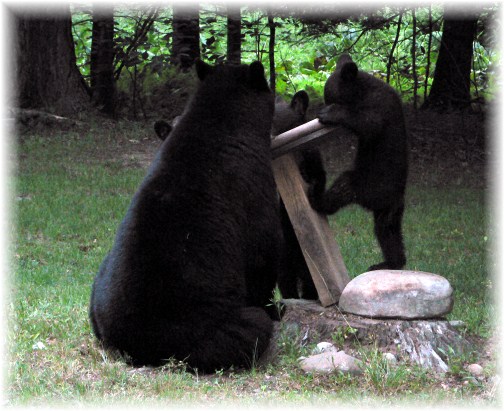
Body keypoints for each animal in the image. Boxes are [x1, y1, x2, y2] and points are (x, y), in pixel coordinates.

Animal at [90, 61, 280, 374]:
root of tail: (133, 342)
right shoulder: (252, 185)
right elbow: (261, 251)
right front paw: (273, 306)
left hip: (98, 284)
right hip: (204, 332)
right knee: (250, 330)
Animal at [308, 54, 410, 272]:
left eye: (330, 98)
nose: (324, 104)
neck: (363, 89)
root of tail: (394, 199)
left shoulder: (379, 105)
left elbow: (370, 124)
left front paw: (330, 113)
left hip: (366, 184)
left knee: (341, 189)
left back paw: (317, 197)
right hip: (388, 211)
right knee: (388, 232)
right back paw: (390, 262)